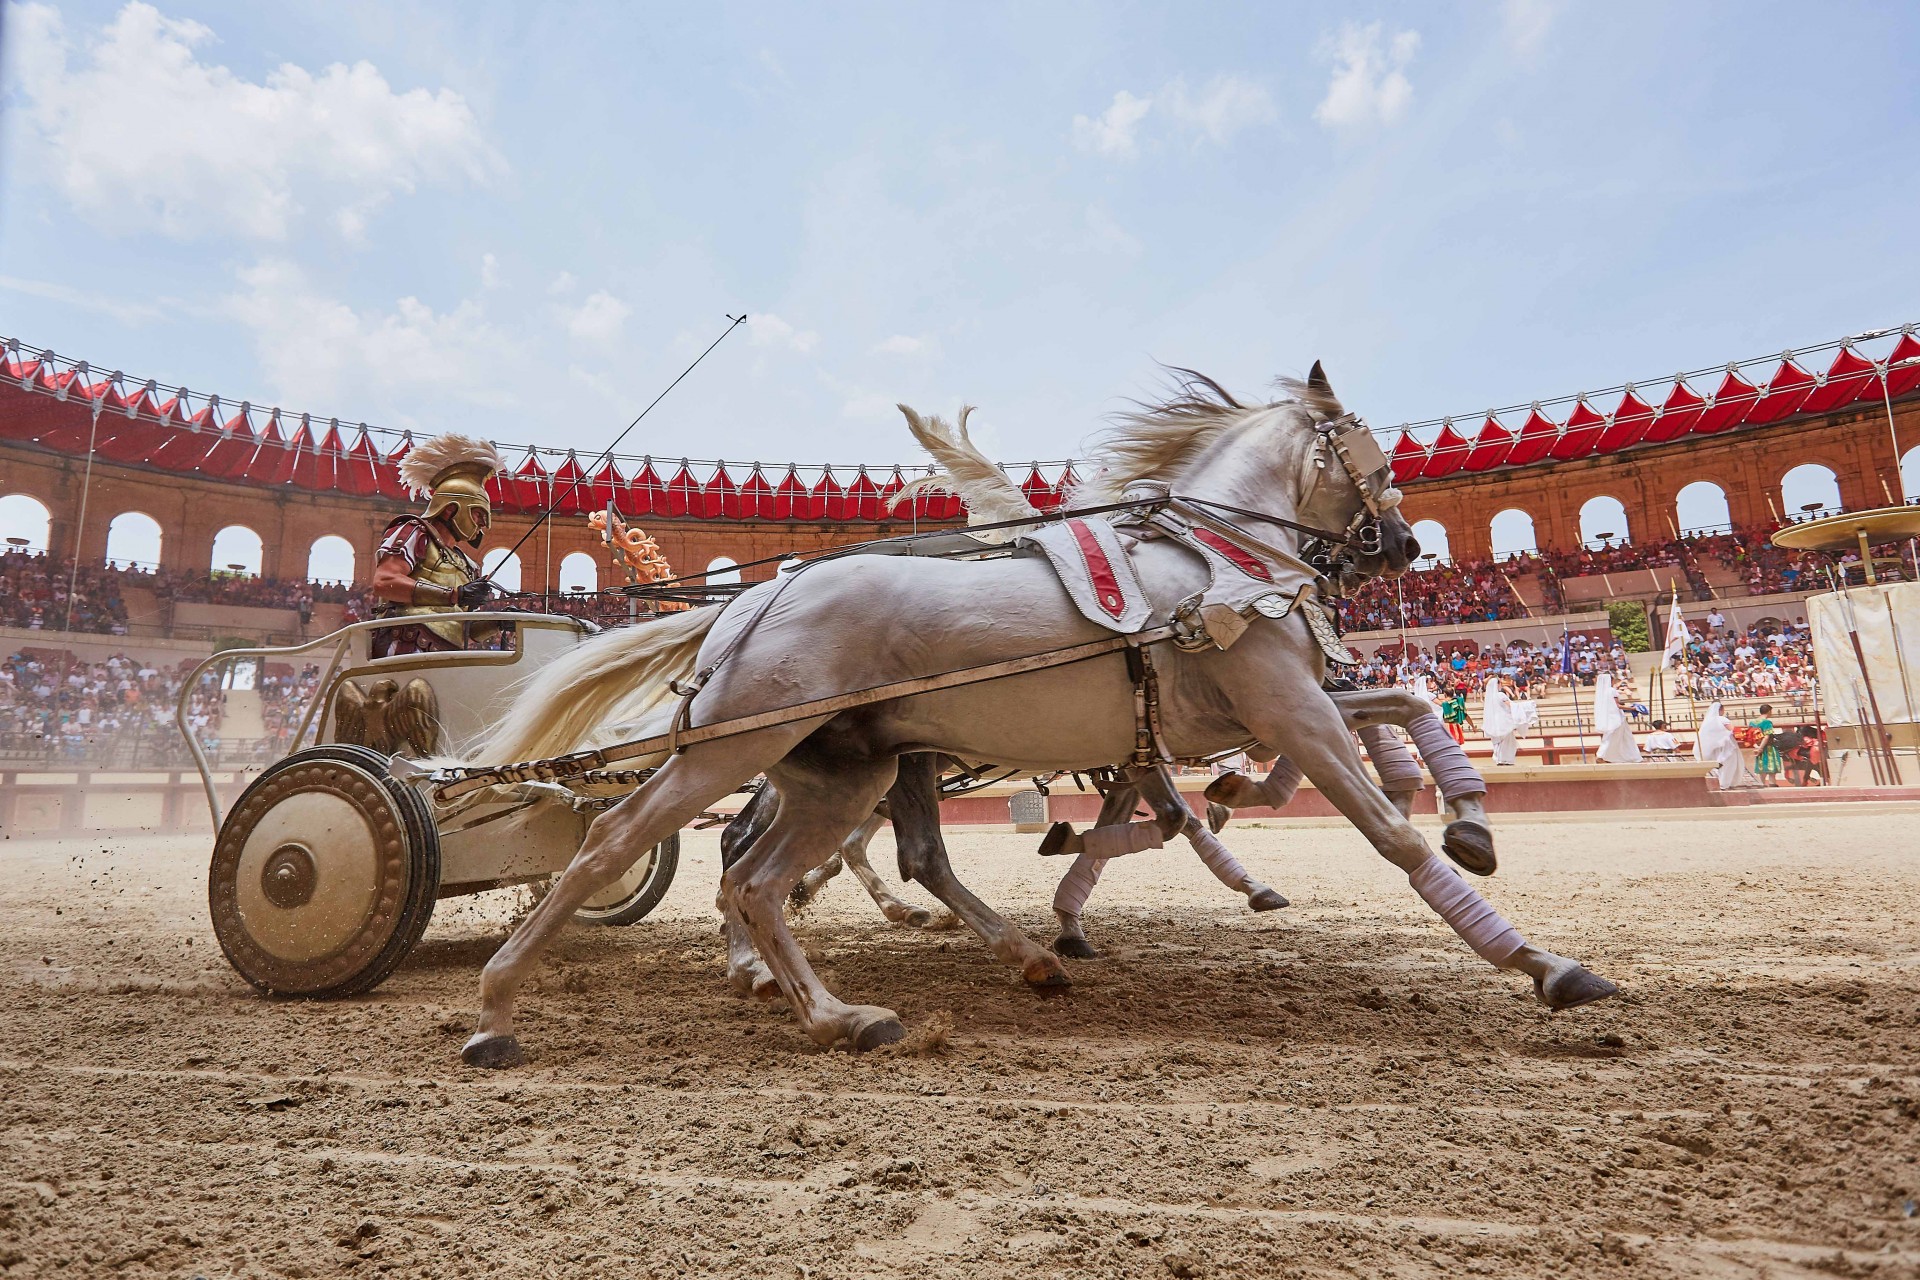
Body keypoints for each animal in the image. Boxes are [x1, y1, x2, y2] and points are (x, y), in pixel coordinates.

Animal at [456, 364, 1612, 1066]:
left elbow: (1399, 706)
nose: (1403, 547)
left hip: (841, 771)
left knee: (764, 876)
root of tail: (750, 599)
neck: (1215, 561)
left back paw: (843, 1009)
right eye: (1368, 447)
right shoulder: (1286, 708)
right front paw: (1541, 962)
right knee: (620, 841)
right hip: (739, 752)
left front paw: (1467, 814)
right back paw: (500, 1005)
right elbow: (1385, 829)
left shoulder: (1246, 717)